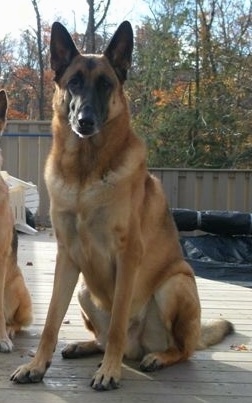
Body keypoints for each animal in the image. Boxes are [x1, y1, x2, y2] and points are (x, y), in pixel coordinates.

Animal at [10, 21, 233, 392]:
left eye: (105, 84)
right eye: (74, 83)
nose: (85, 121)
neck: (85, 173)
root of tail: (137, 345)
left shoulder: (128, 256)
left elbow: (116, 323)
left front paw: (110, 372)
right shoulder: (67, 256)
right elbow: (51, 321)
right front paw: (37, 366)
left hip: (176, 284)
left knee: (180, 348)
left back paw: (155, 357)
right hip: (85, 289)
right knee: (102, 338)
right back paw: (85, 346)